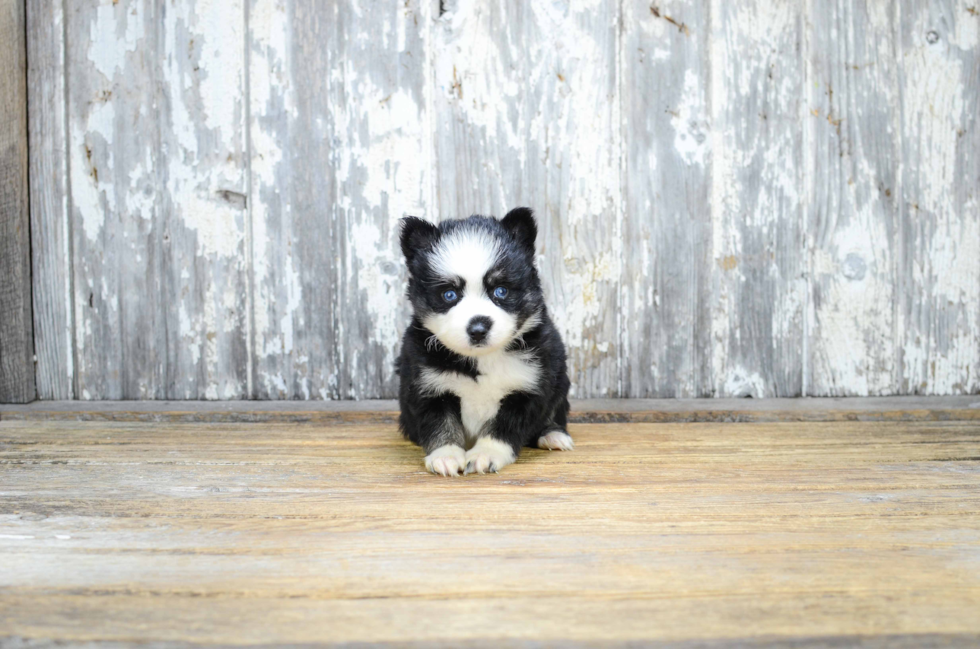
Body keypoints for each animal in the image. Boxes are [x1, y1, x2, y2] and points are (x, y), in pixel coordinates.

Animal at [394, 208, 572, 476]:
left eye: (500, 291)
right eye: (449, 294)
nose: (478, 329)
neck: (481, 359)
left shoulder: (529, 386)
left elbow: (503, 426)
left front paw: (486, 454)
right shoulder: (428, 386)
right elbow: (440, 422)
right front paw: (446, 455)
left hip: (560, 380)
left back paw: (553, 434)